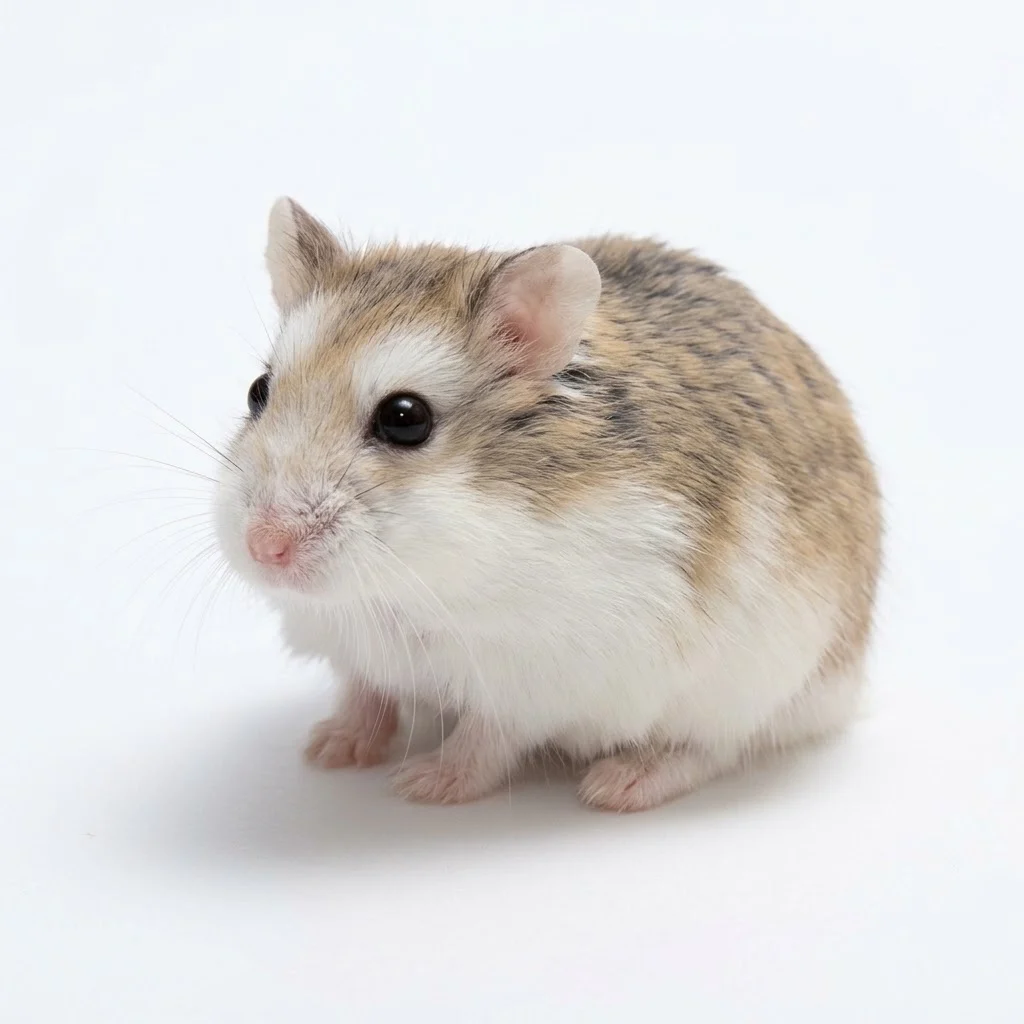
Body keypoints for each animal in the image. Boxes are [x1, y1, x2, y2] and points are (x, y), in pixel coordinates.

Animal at [214, 198, 882, 812]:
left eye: (406, 419)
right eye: (257, 391)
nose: (264, 547)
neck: (402, 588)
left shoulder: (535, 677)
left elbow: (486, 739)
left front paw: (423, 785)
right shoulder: (357, 646)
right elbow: (365, 693)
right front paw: (328, 749)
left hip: (757, 682)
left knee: (713, 748)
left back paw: (618, 785)